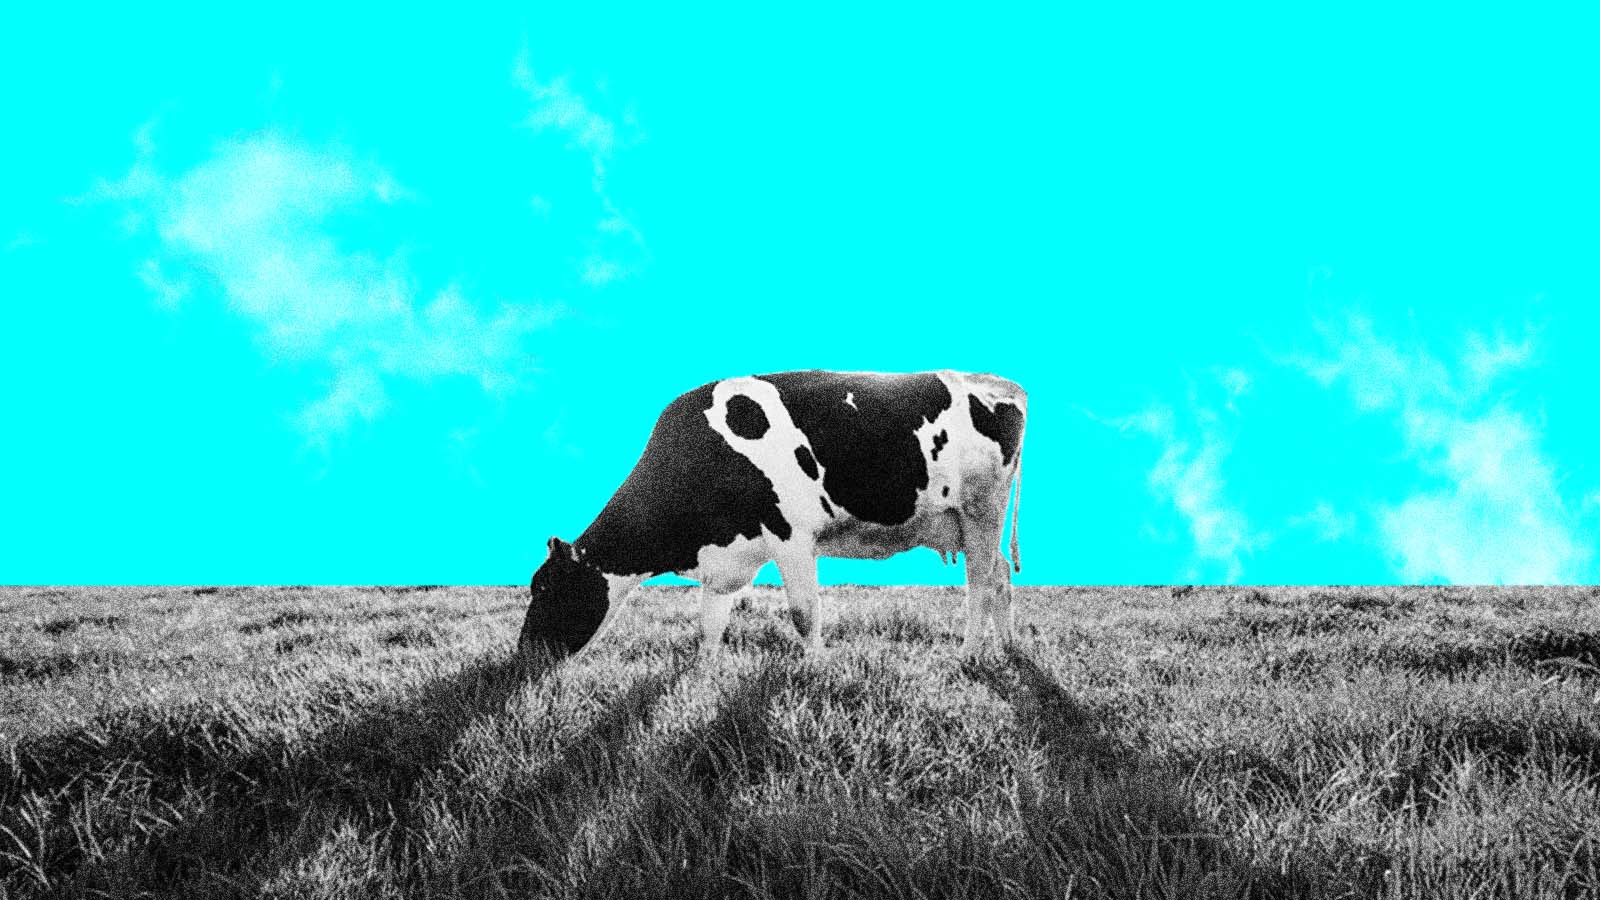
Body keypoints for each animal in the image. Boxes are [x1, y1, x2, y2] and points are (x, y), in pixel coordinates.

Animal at [520, 370, 1027, 657]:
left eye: (543, 586)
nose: (525, 653)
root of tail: (1001, 384)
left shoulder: (792, 534)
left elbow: (804, 613)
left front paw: (818, 668)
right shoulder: (723, 557)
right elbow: (710, 625)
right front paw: (705, 676)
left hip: (981, 510)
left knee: (981, 585)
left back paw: (967, 655)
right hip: (966, 521)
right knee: (1000, 575)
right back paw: (1006, 648)